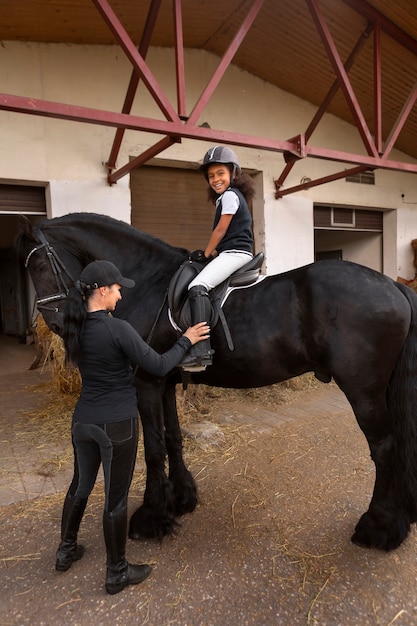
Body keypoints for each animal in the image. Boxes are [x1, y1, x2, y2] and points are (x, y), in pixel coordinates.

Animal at [17, 212, 417, 548]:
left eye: (38, 263)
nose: (54, 324)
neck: (148, 282)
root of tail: (392, 286)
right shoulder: (164, 381)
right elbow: (173, 439)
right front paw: (181, 499)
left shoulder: (146, 383)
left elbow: (153, 448)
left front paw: (151, 519)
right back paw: (397, 519)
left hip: (363, 391)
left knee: (384, 447)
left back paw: (377, 528)